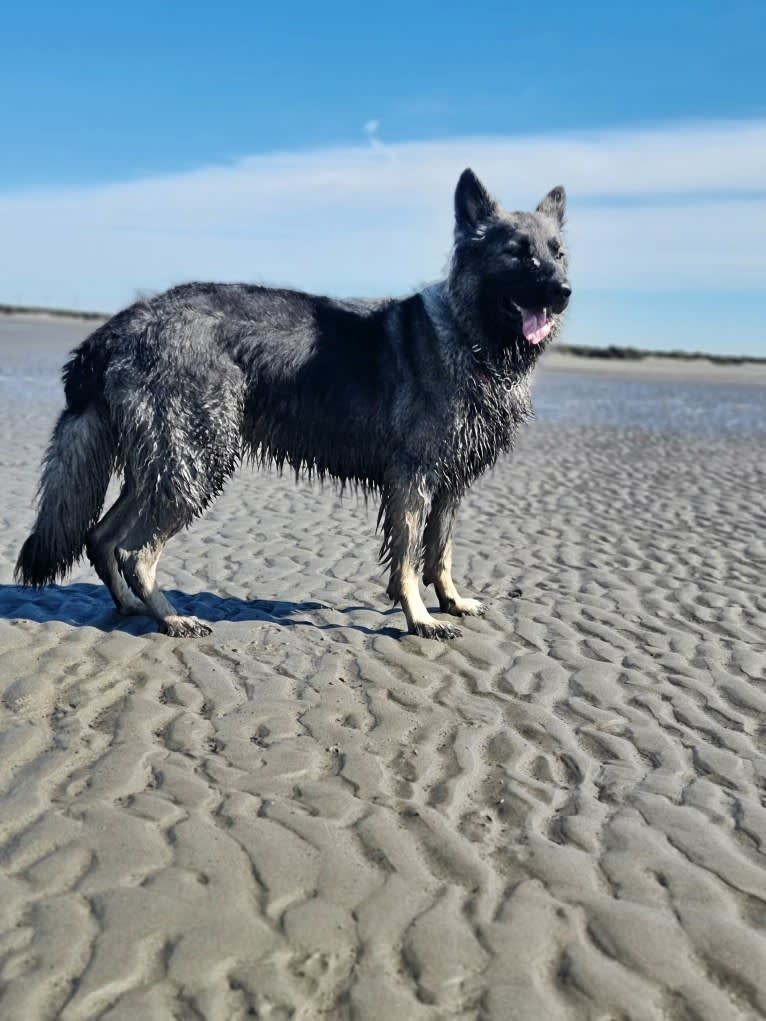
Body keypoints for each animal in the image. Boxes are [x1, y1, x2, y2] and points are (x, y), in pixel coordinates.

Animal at [15, 172, 571, 641]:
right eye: (517, 253)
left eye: (558, 253)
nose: (563, 292)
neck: (471, 337)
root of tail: (122, 324)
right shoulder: (412, 481)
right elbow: (409, 561)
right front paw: (419, 618)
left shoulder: (450, 486)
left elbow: (440, 554)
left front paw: (451, 602)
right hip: (196, 465)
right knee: (134, 550)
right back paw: (171, 618)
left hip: (164, 469)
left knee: (101, 538)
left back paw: (132, 608)